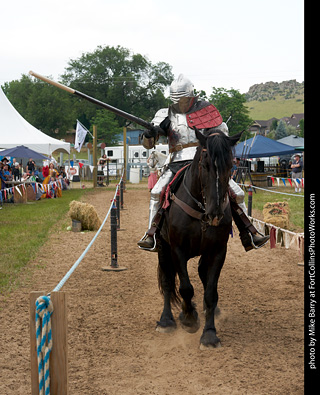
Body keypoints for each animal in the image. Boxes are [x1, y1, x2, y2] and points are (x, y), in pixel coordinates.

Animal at [156, 127, 241, 350]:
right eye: (205, 164)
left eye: (230, 165)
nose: (215, 213)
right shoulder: (177, 250)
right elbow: (185, 287)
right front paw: (189, 319)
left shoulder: (218, 251)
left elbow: (211, 292)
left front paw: (210, 334)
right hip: (163, 248)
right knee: (168, 281)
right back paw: (167, 320)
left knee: (202, 275)